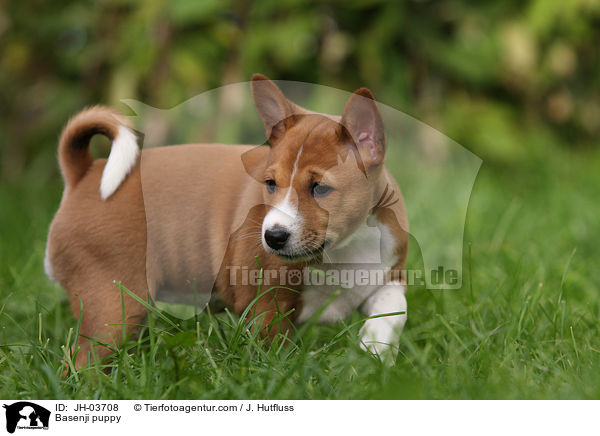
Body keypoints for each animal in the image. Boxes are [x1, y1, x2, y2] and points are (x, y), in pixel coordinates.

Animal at [45, 74, 408, 368]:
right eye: (270, 183)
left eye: (320, 188)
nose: (273, 237)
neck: (347, 246)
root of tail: (85, 175)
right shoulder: (265, 303)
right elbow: (274, 354)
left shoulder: (383, 278)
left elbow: (396, 308)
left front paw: (375, 349)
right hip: (112, 306)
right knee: (79, 365)